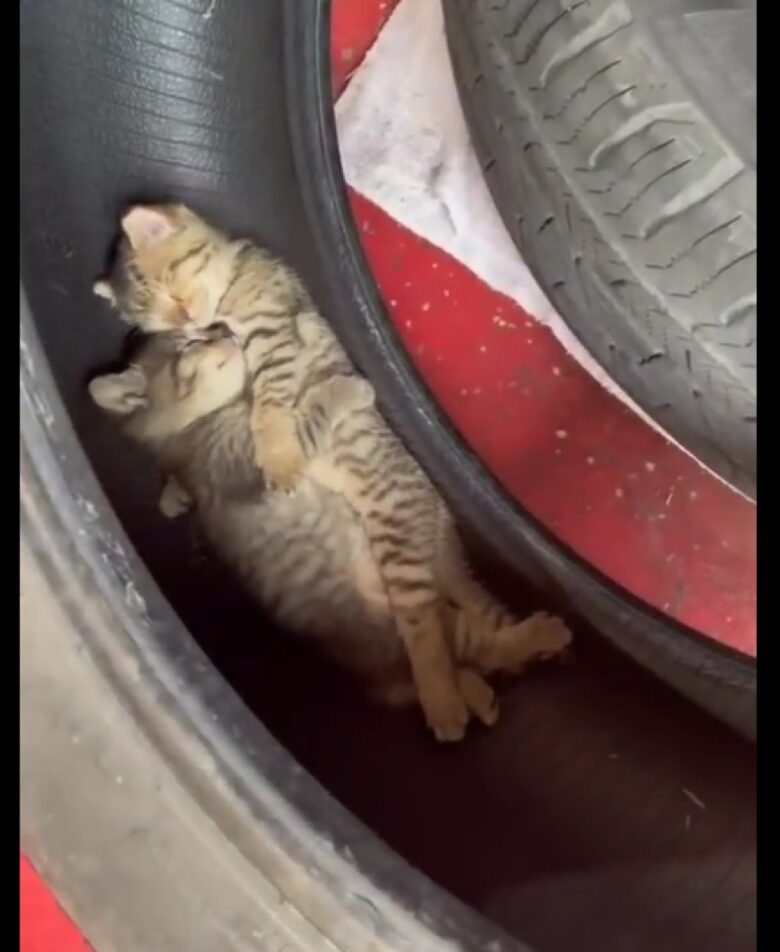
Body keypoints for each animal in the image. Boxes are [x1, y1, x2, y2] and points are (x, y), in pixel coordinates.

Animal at [93, 205, 572, 740]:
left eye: (175, 296)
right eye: (164, 325)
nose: (199, 325)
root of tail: (443, 533)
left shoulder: (275, 333)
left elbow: (272, 404)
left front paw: (278, 451)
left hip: (397, 544)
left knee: (445, 639)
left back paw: (471, 686)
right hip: (404, 595)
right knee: (450, 645)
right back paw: (465, 692)